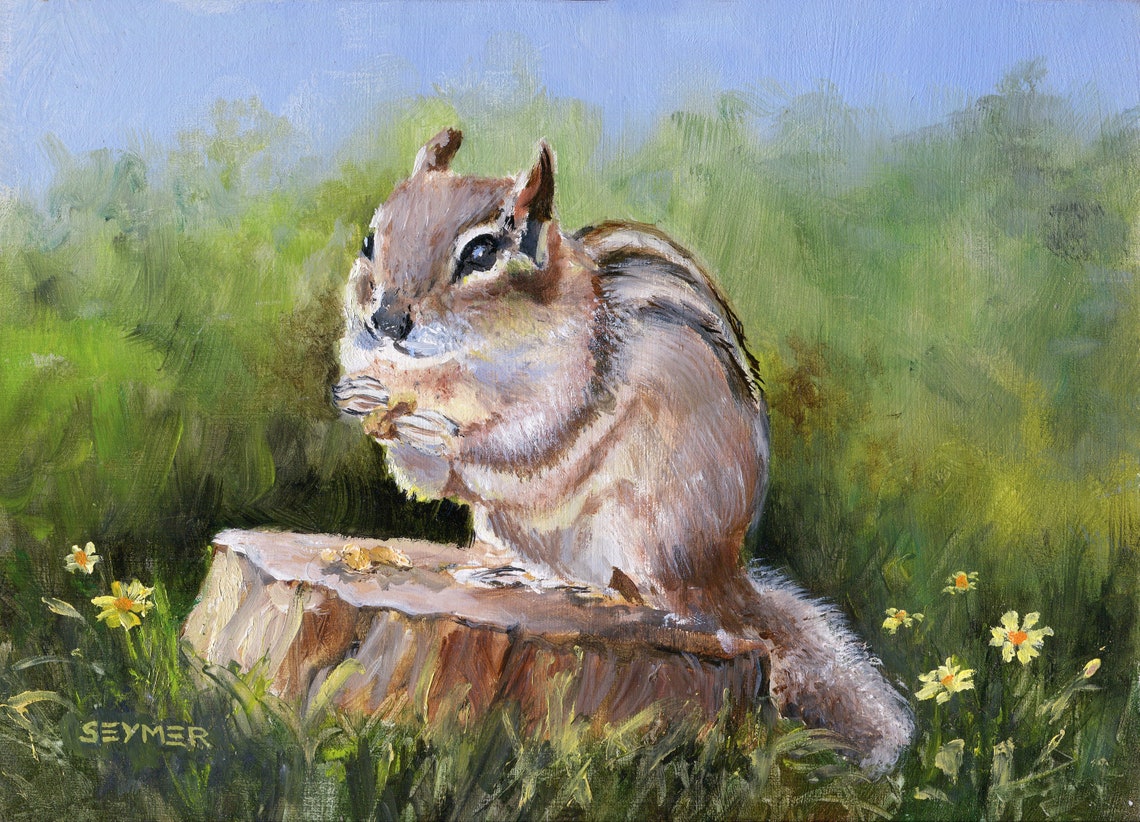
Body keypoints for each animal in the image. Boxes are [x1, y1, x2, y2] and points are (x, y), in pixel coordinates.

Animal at [334, 128, 913, 772]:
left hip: (649, 526)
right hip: (507, 526)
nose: (385, 321)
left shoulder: (570, 388)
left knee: (654, 598)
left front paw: (439, 431)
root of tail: (722, 573)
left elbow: (525, 440)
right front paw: (358, 397)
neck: (449, 370)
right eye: (369, 241)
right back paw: (508, 571)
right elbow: (421, 471)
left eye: (481, 254)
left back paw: (580, 588)